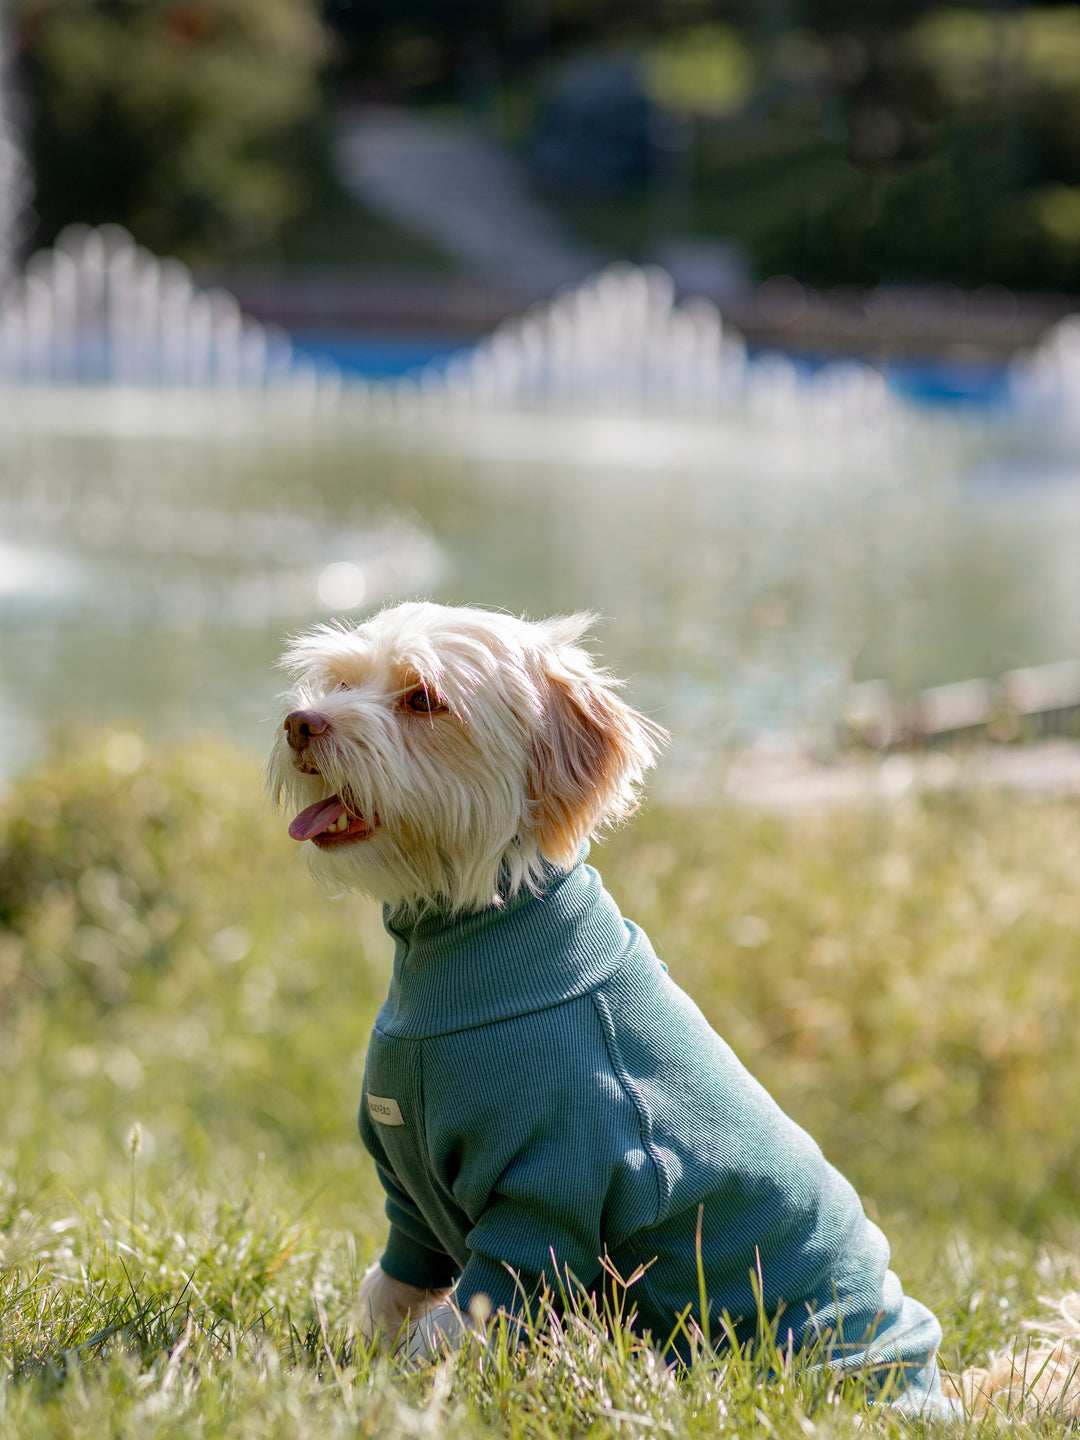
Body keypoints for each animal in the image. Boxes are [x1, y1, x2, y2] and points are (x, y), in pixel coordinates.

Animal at [270, 599, 1080, 1416]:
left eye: (423, 700)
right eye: (340, 682)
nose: (302, 723)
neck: (463, 937)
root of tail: (936, 1392)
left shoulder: (543, 1207)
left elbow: (450, 1328)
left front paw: (394, 1394)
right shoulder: (408, 1197)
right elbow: (391, 1288)